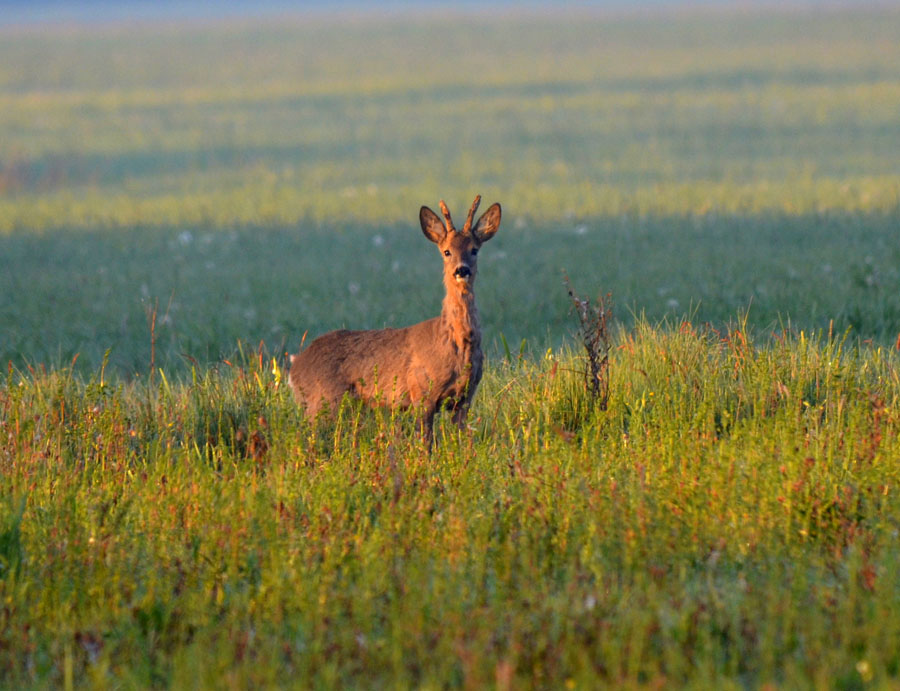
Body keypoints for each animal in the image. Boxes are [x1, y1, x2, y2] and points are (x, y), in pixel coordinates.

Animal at [288, 193, 500, 448]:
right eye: (447, 251)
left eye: (474, 250)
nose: (462, 270)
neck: (456, 343)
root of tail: (294, 368)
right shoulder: (421, 392)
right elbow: (425, 443)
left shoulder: (465, 398)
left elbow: (460, 441)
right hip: (322, 400)